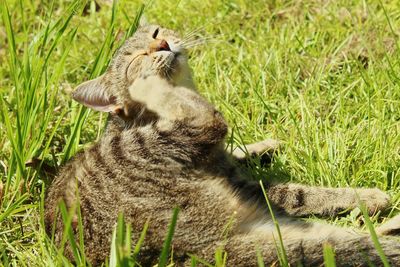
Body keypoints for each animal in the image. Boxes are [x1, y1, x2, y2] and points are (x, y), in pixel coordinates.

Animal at [45, 24, 400, 266]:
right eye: (135, 60)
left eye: (157, 32)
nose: (162, 43)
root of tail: (183, 252)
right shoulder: (248, 183)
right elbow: (302, 193)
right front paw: (368, 196)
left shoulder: (234, 171)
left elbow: (241, 155)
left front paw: (262, 146)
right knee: (207, 118)